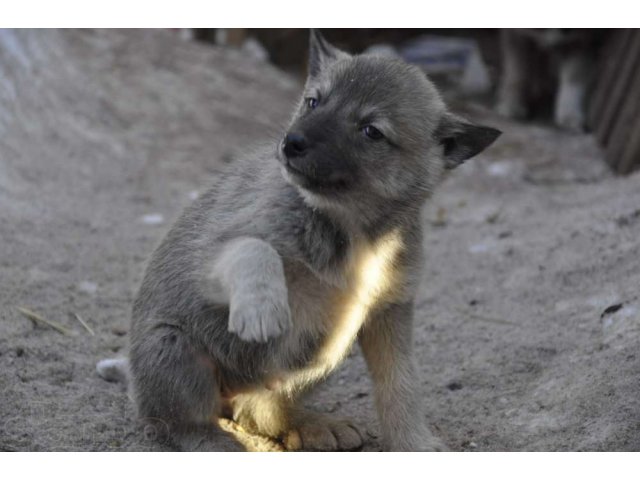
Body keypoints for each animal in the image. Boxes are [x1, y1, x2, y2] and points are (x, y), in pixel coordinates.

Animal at [97, 30, 502, 450]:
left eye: (371, 131)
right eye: (314, 101)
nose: (291, 142)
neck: (351, 228)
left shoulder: (390, 312)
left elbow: (400, 385)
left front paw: (414, 442)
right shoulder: (212, 252)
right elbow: (254, 248)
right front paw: (262, 309)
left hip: (323, 354)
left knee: (259, 409)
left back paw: (310, 424)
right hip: (174, 349)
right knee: (176, 421)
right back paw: (217, 440)